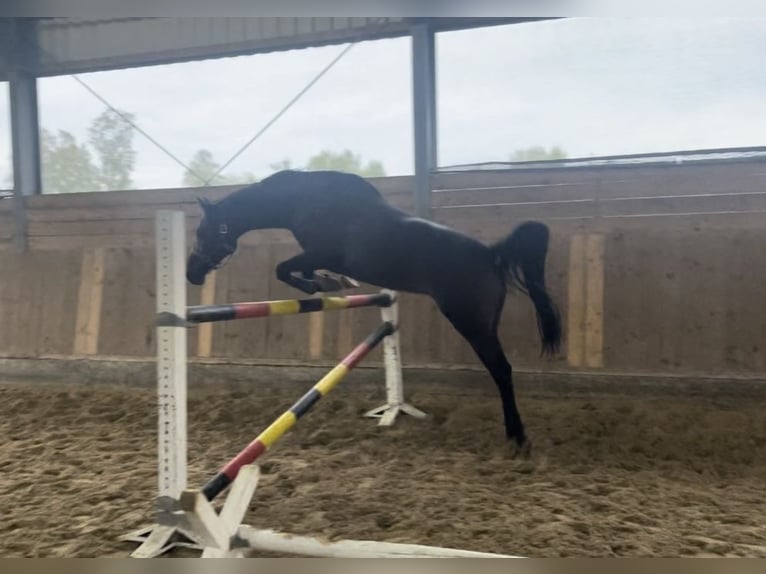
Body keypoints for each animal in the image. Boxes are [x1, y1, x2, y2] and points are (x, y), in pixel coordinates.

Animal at [189, 169, 560, 448]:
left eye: (203, 231)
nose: (191, 273)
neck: (307, 200)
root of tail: (491, 255)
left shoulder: (320, 252)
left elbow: (284, 269)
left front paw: (323, 284)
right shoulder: (316, 256)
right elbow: (302, 272)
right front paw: (330, 282)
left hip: (473, 325)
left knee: (502, 371)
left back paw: (517, 436)